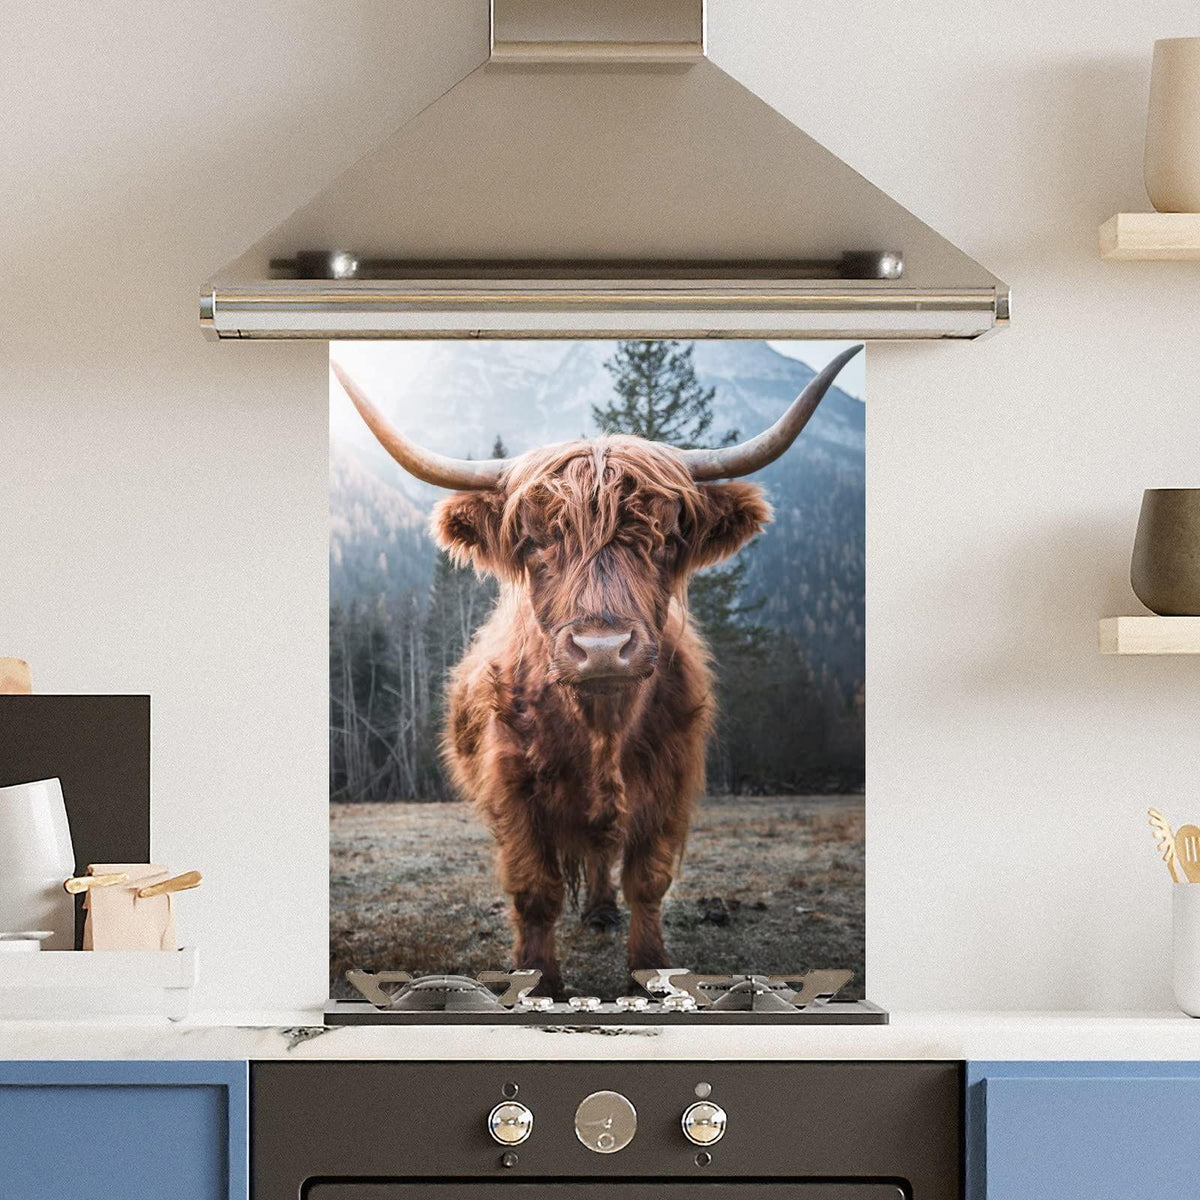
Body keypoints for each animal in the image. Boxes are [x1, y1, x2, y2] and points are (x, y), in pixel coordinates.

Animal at [332, 346, 861, 996]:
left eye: (666, 537)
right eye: (534, 541)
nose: (603, 647)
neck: (601, 727)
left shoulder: (669, 783)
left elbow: (648, 882)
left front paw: (649, 971)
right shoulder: (512, 791)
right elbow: (535, 892)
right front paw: (541, 983)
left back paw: (604, 911)